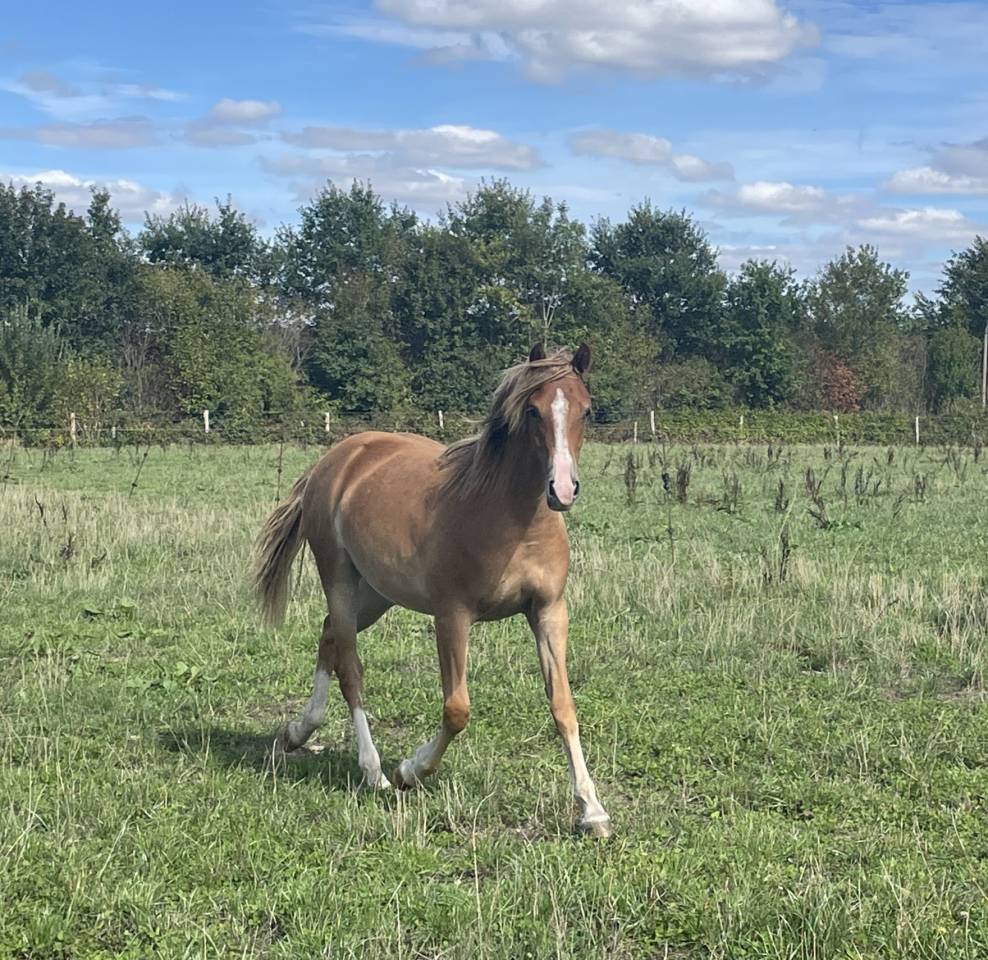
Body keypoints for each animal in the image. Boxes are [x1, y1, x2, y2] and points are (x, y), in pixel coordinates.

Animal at [253, 343, 611, 837]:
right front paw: (410, 770)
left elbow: (563, 705)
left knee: (328, 639)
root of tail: (336, 458)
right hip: (340, 580)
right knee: (350, 666)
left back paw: (297, 732)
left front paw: (592, 810)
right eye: (533, 410)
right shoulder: (452, 615)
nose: (561, 488)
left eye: (586, 410)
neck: (513, 522)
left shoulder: (548, 611)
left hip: (376, 594)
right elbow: (457, 708)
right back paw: (374, 771)